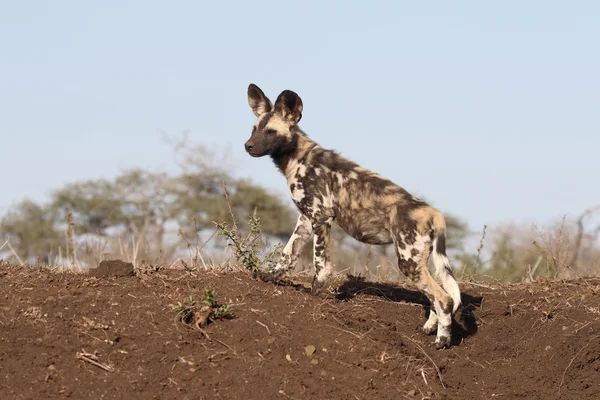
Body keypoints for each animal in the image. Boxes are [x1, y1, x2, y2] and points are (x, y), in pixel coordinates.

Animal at [246, 84, 462, 350]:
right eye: (254, 129)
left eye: (271, 132)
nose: (247, 145)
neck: (298, 158)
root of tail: (433, 212)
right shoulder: (305, 219)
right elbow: (288, 254)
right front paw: (269, 276)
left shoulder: (321, 217)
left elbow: (321, 264)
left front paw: (314, 294)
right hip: (420, 261)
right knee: (441, 295)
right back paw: (429, 328)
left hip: (408, 261)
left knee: (444, 299)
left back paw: (442, 340)